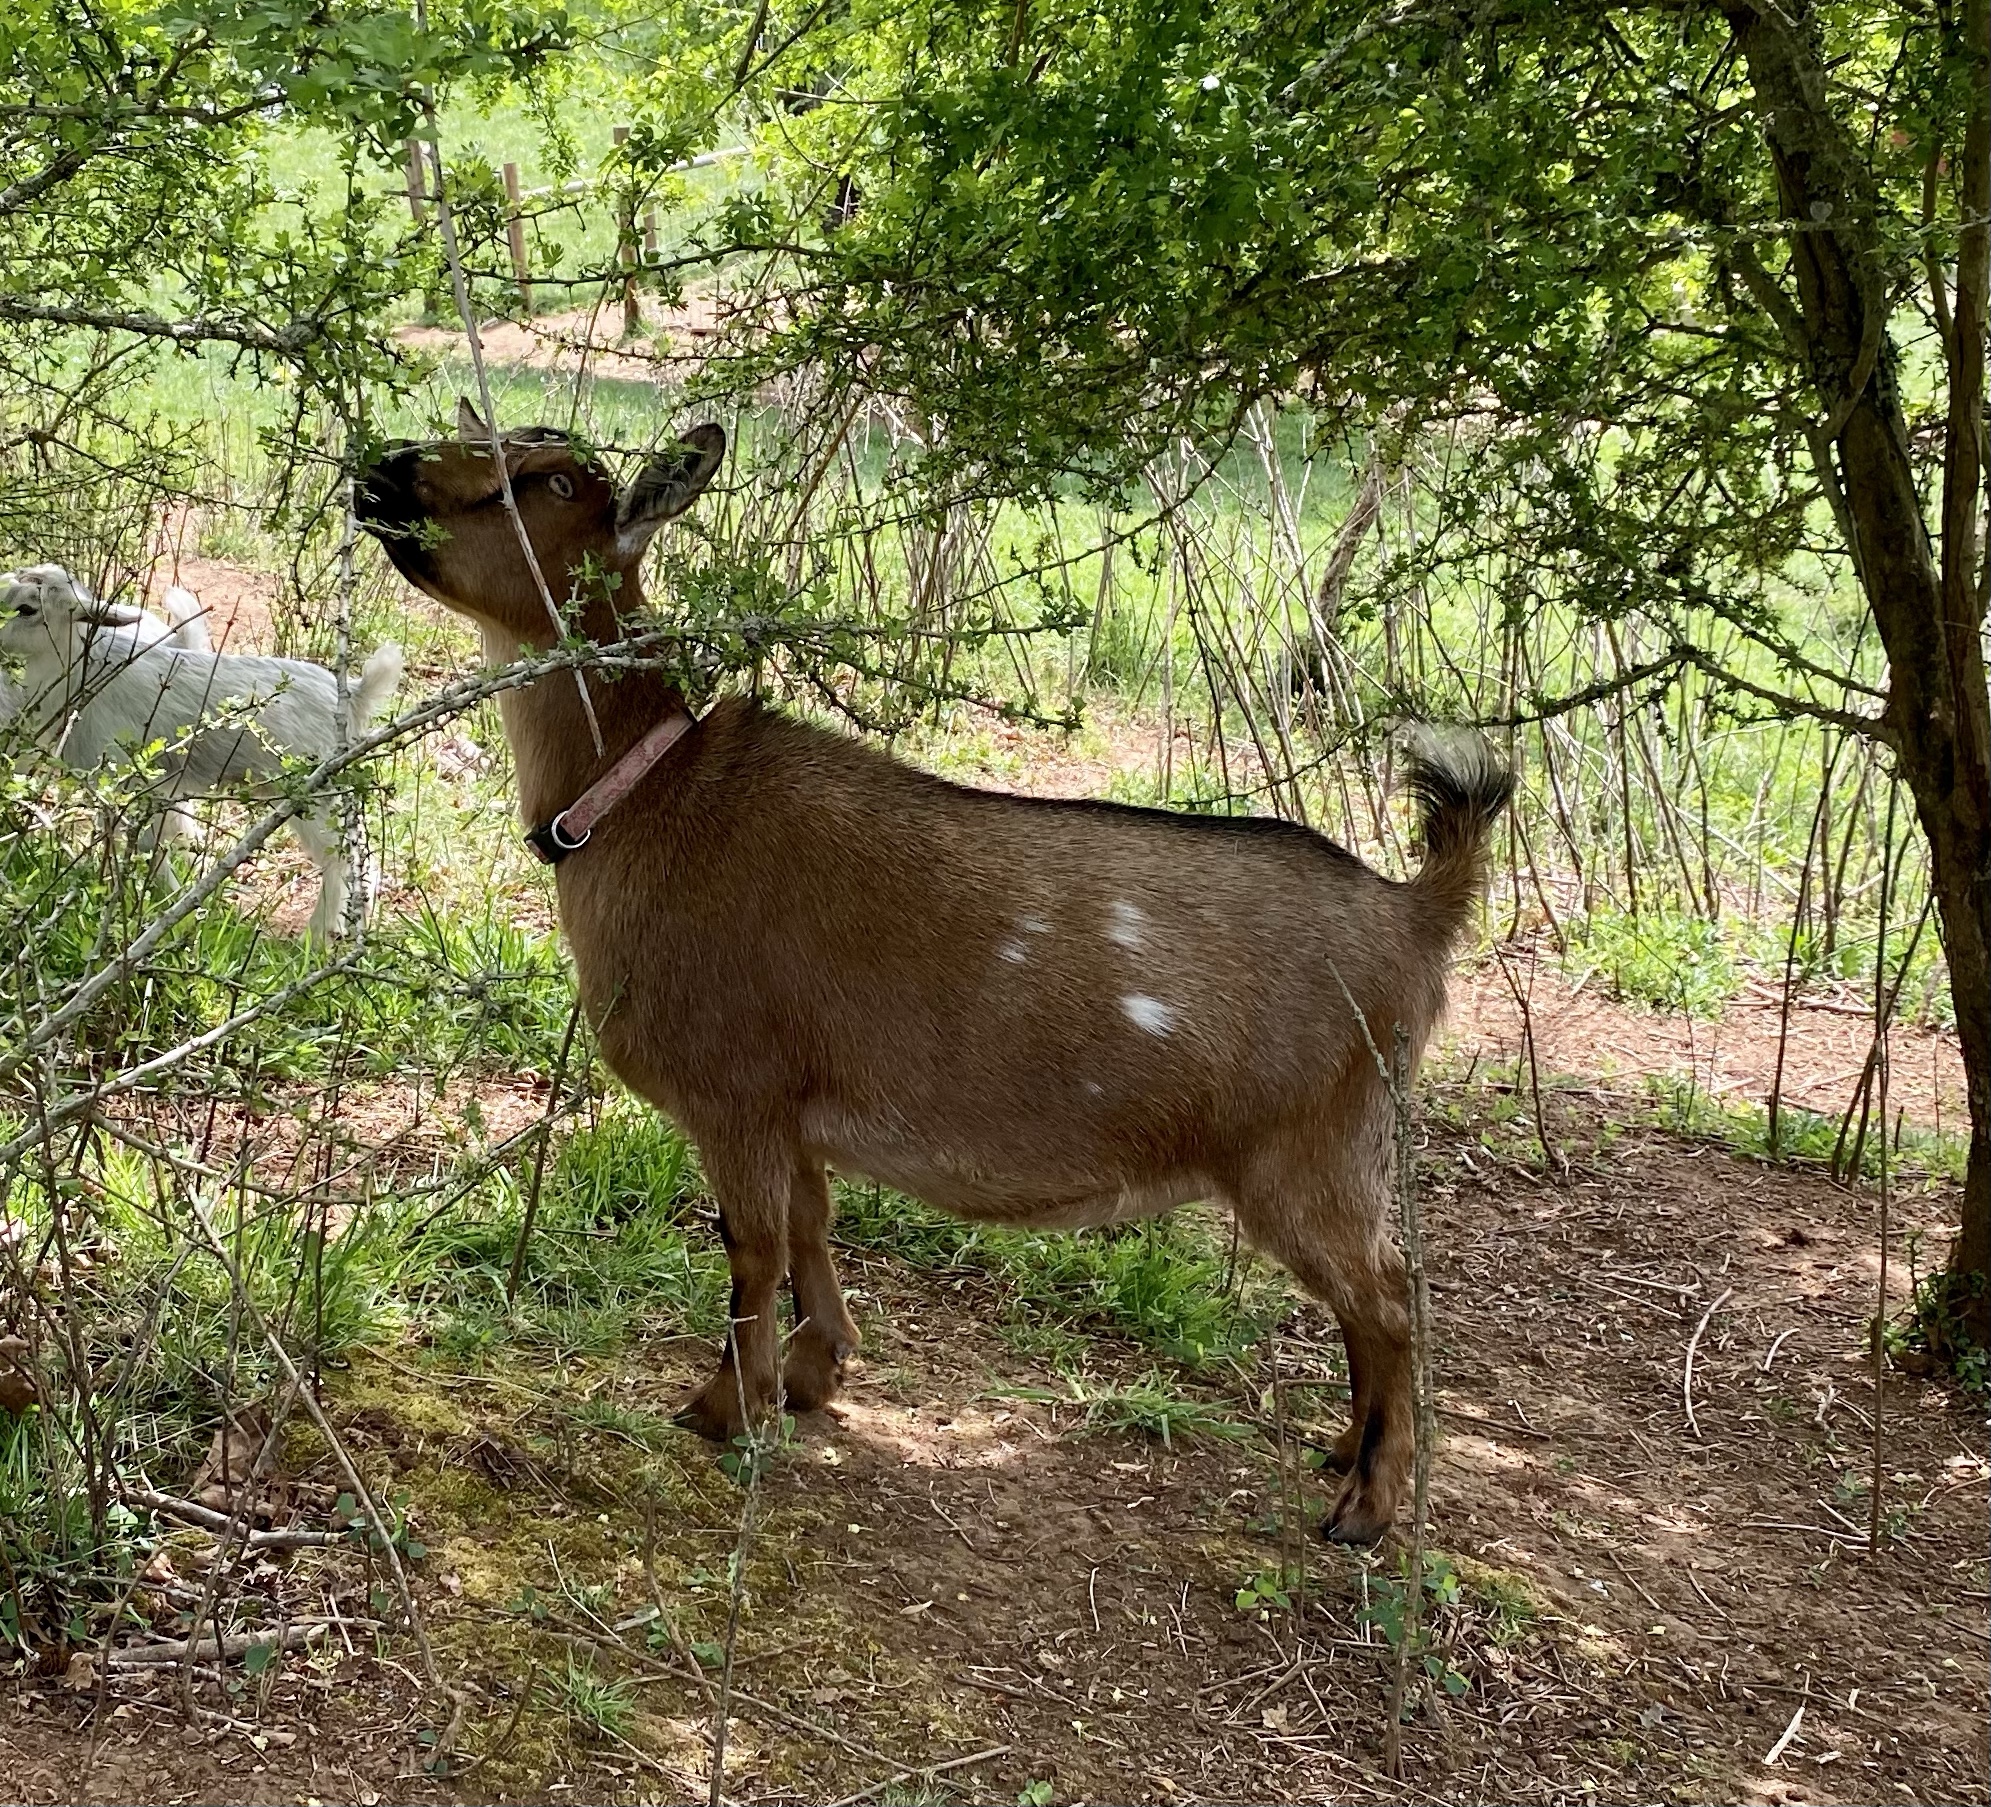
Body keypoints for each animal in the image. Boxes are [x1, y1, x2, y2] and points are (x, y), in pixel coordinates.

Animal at [0, 563, 404, 937]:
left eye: (27, 609)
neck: (84, 668)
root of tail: (355, 695)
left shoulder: (121, 779)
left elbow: (145, 848)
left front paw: (167, 911)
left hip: (317, 795)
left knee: (343, 860)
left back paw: (318, 937)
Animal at [356, 409, 1512, 1543]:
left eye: (547, 482)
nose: (381, 470)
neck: (644, 799)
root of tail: (1415, 911)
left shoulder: (735, 1090)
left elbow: (750, 1246)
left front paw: (725, 1409)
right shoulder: (796, 1106)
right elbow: (811, 1224)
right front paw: (815, 1373)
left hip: (1310, 1149)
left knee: (1393, 1300)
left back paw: (1367, 1506)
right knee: (1374, 1303)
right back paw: (1340, 1450)